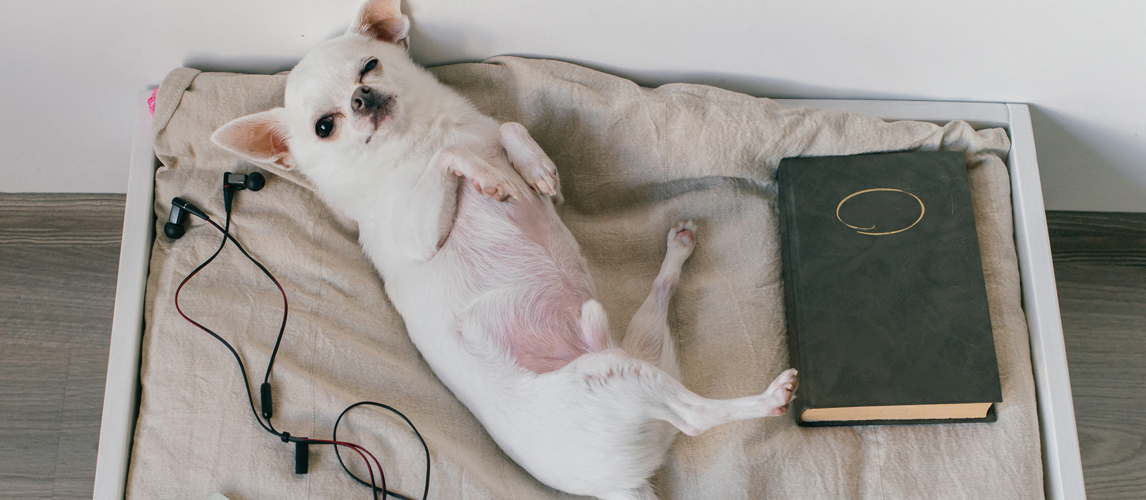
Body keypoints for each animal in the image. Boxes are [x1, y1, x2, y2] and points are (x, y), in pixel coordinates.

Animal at [210, 1, 793, 497]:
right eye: (324, 127)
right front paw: (491, 177)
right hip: (614, 377)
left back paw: (679, 246)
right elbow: (451, 158)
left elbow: (510, 127)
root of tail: (624, 484)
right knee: (695, 417)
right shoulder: (414, 236)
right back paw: (770, 397)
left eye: (370, 65)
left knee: (662, 296)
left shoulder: (497, 141)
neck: (419, 139)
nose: (361, 98)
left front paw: (535, 169)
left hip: (644, 347)